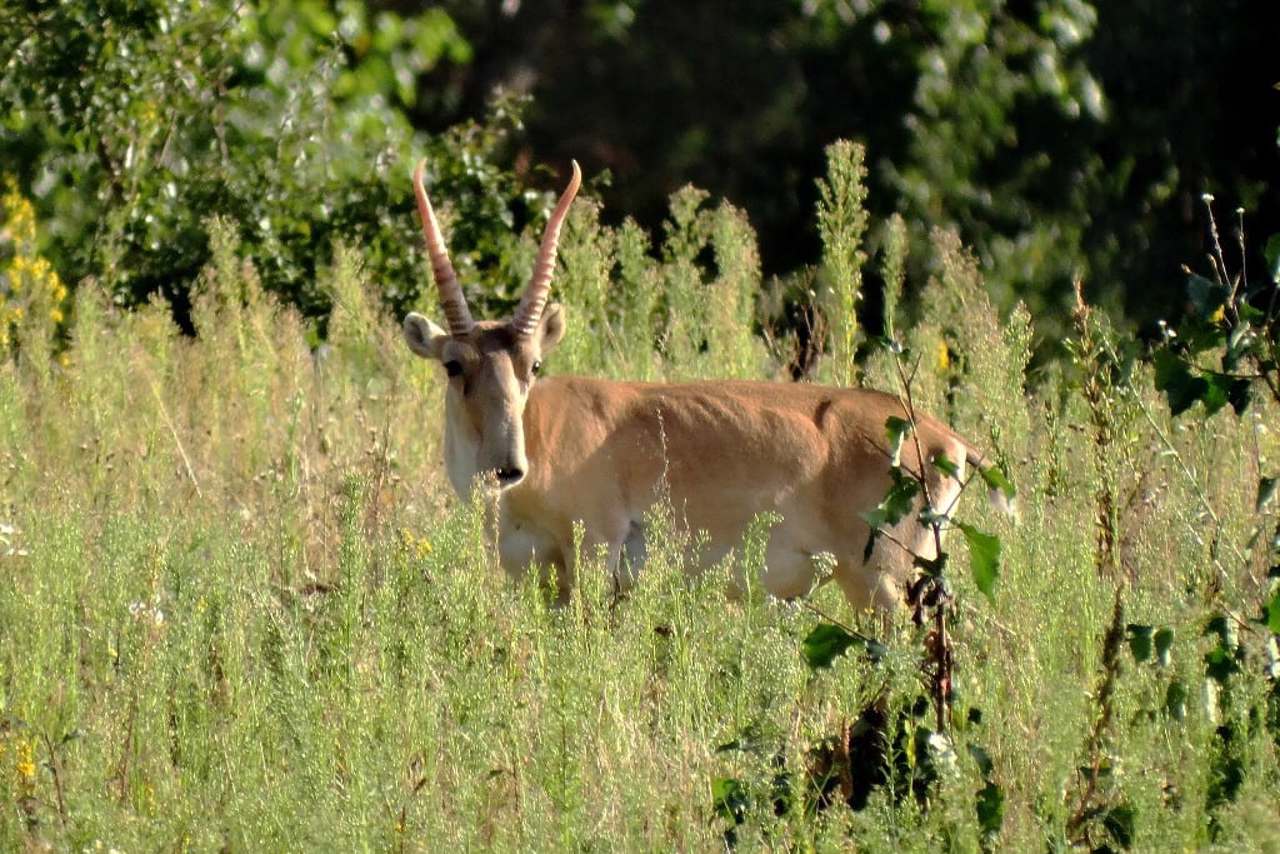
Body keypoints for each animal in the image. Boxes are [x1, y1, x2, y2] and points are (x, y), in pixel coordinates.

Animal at [399, 160, 1008, 612]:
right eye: (454, 365)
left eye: (534, 365)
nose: (506, 467)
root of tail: (947, 439)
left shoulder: (597, 552)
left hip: (881, 582)